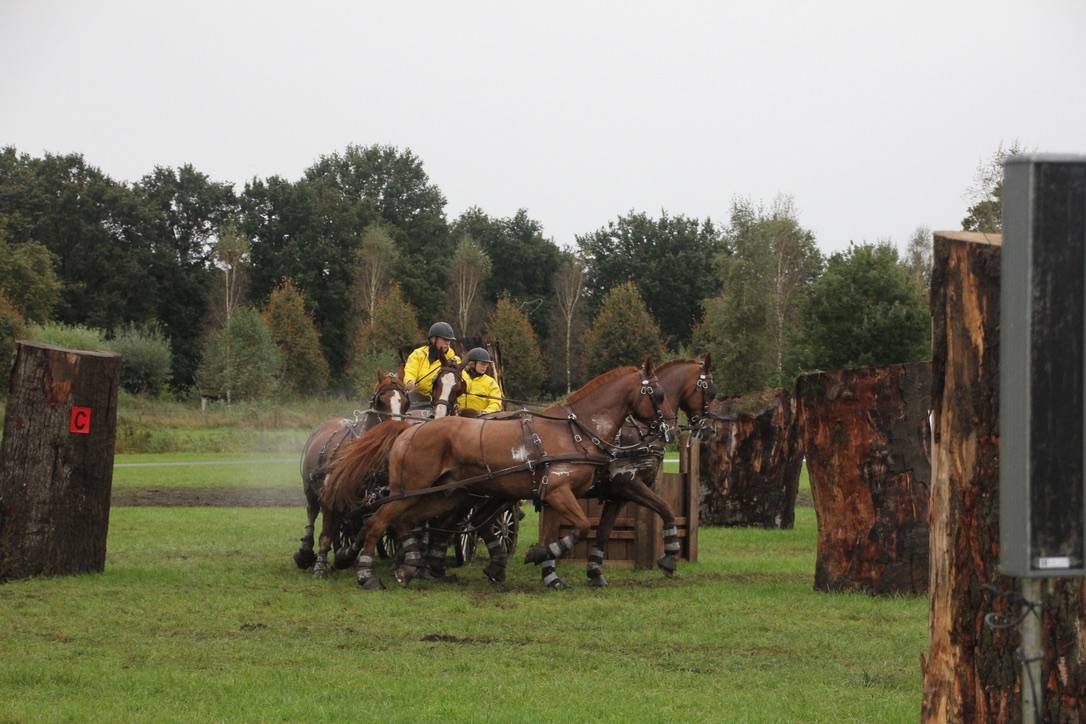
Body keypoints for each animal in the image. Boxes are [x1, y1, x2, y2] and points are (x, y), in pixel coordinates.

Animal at [292, 370, 409, 570]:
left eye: (405, 402)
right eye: (380, 401)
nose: (396, 430)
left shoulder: (372, 501)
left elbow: (364, 529)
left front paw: (344, 556)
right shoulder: (330, 495)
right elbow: (326, 533)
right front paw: (320, 566)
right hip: (310, 488)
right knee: (312, 513)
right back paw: (305, 552)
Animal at [323, 358, 676, 590]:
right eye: (658, 394)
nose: (670, 428)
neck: (574, 431)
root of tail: (409, 428)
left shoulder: (556, 495)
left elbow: (571, 531)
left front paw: (548, 567)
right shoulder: (559, 492)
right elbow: (581, 527)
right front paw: (538, 555)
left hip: (443, 497)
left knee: (407, 523)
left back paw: (408, 568)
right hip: (409, 491)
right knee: (377, 521)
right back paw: (366, 574)